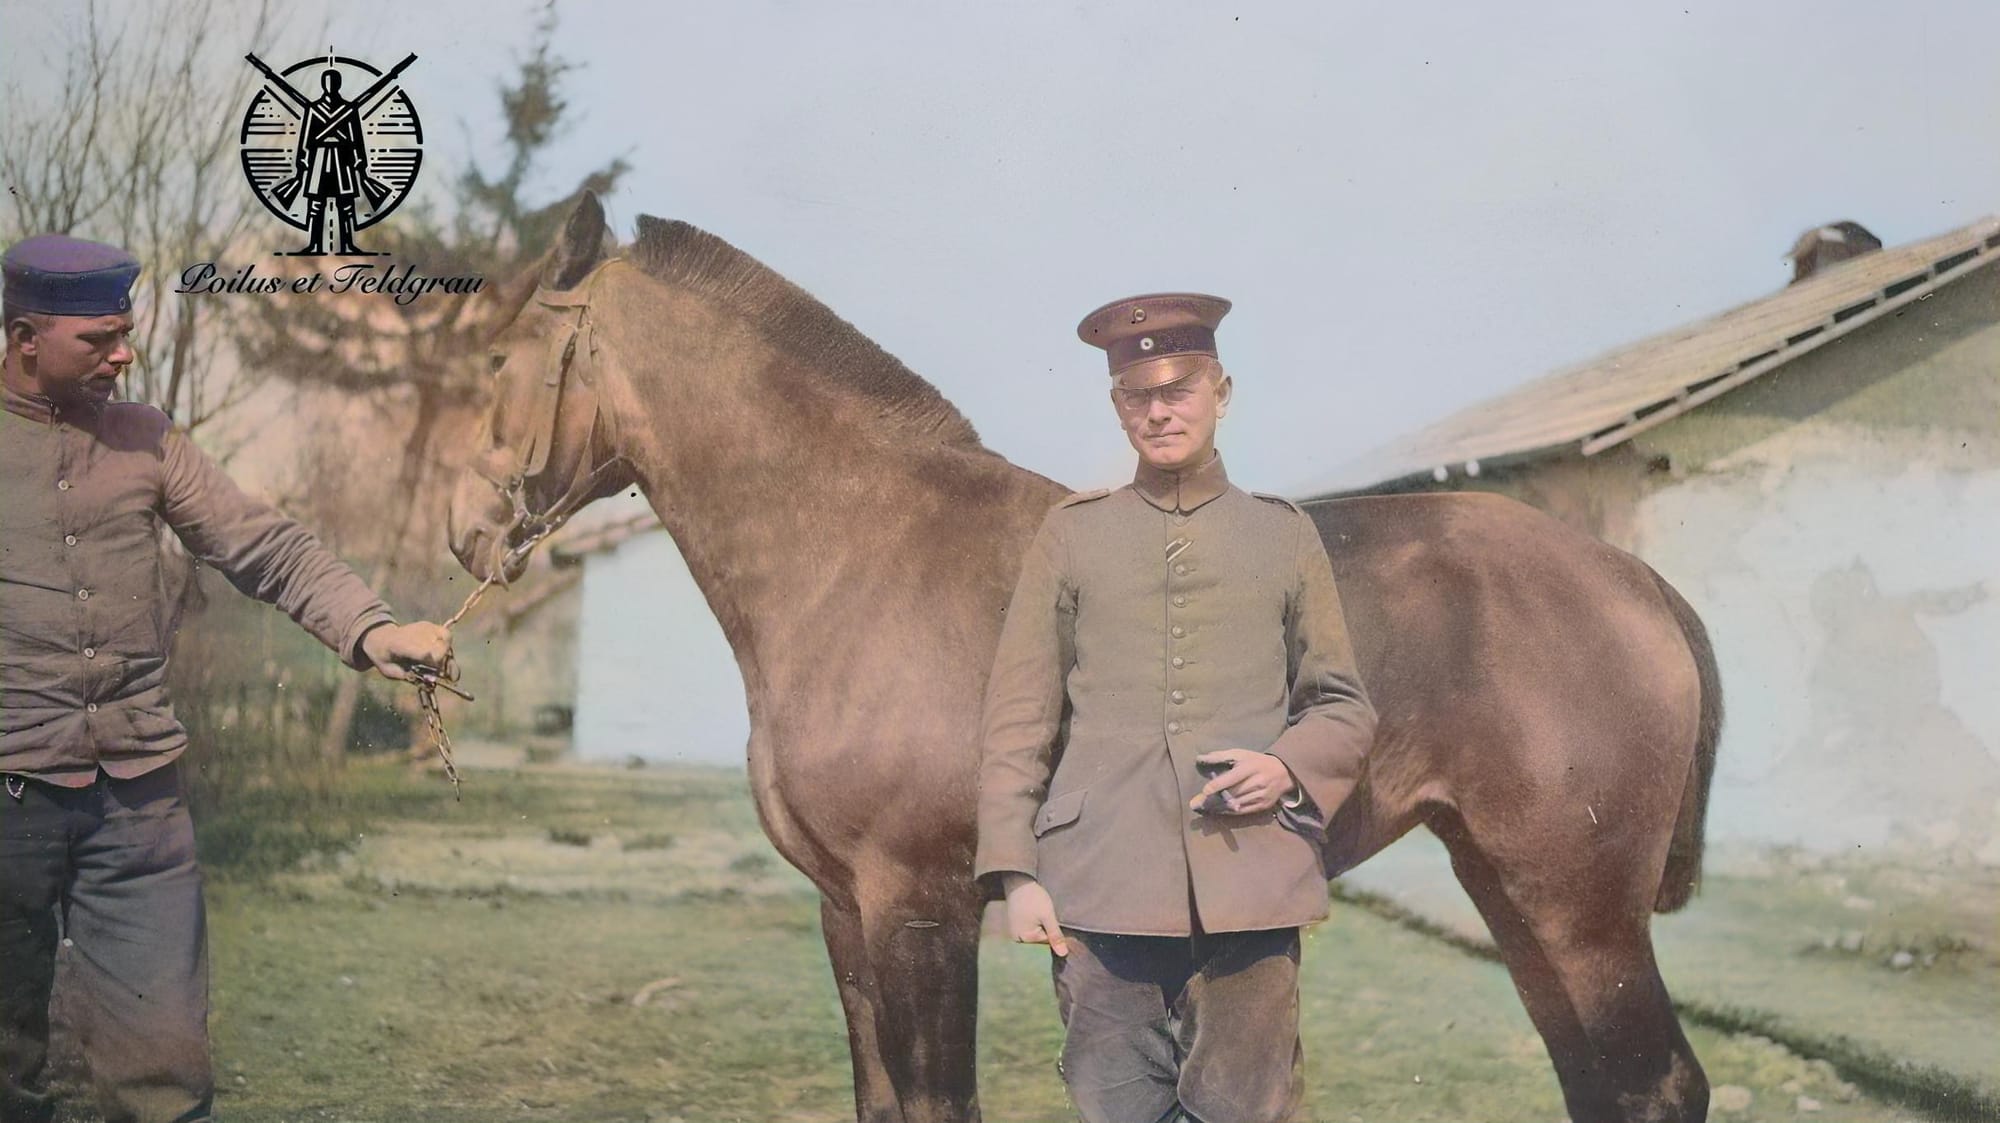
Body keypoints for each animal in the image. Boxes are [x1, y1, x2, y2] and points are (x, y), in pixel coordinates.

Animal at [450, 191, 1720, 1119]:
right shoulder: (842, 912)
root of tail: (1633, 581)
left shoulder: (915, 907)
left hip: (1580, 909)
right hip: (1511, 890)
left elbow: (936, 1103)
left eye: (500, 358)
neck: (861, 551)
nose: (464, 533)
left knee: (1655, 1084)